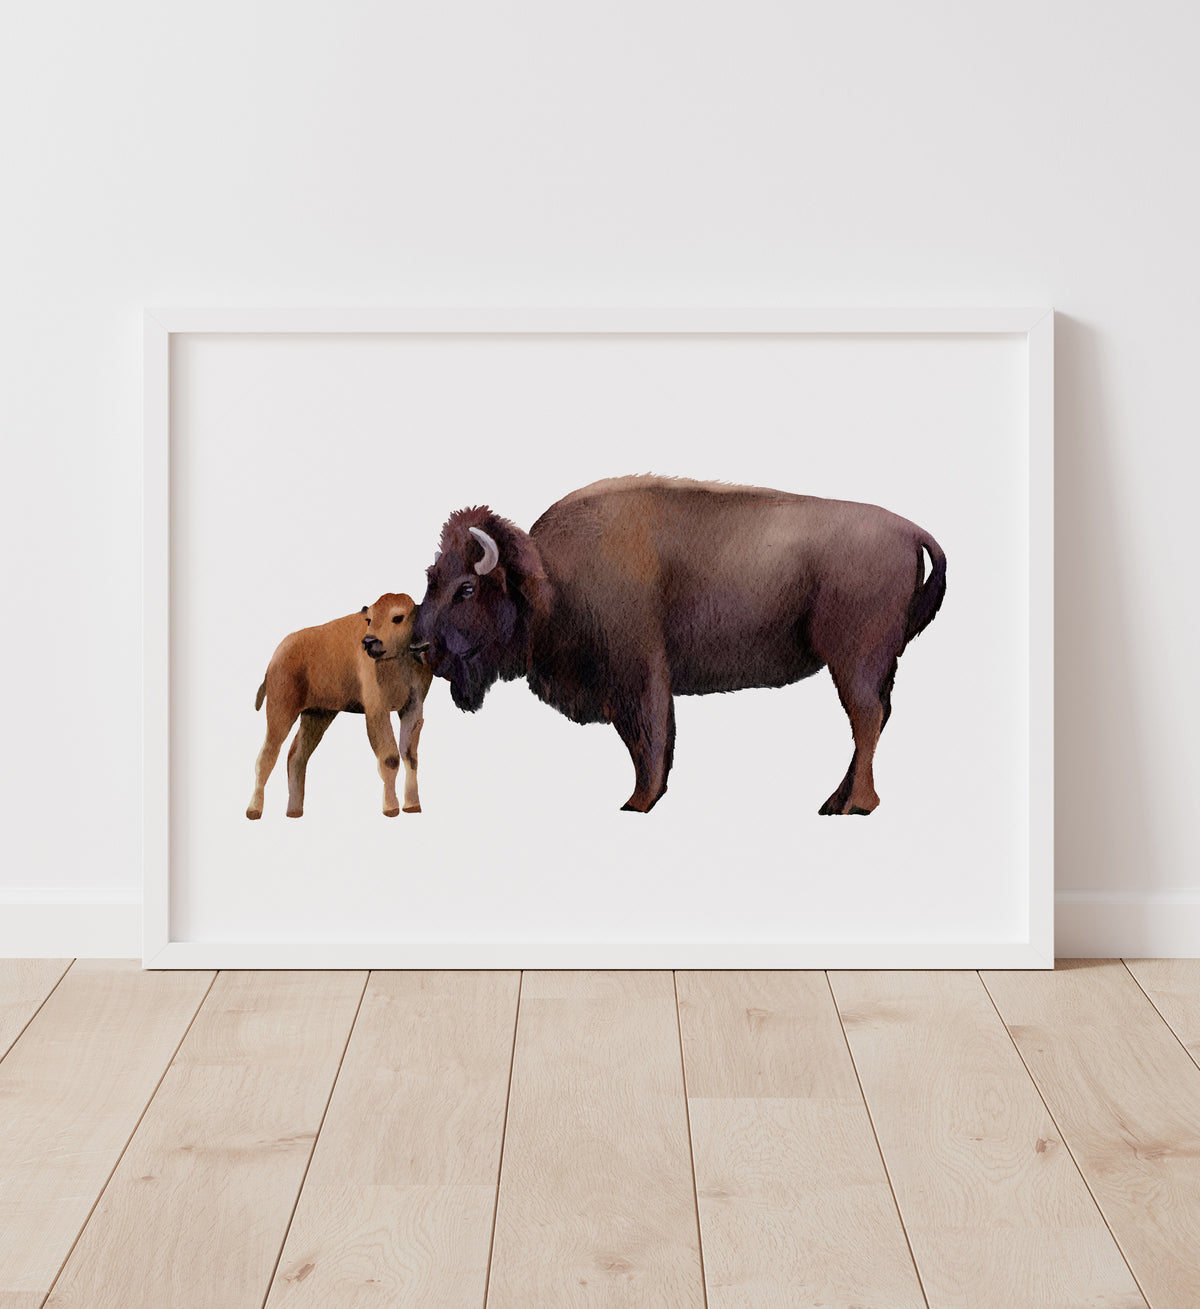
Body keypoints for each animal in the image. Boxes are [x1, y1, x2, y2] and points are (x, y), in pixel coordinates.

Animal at [411, 476, 946, 814]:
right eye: (431, 577)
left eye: (466, 588)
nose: (419, 647)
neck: (551, 578)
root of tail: (912, 530)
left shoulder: (639, 676)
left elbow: (648, 740)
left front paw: (638, 803)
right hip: (874, 663)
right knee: (874, 718)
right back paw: (837, 802)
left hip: (852, 659)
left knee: (865, 717)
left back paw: (856, 804)